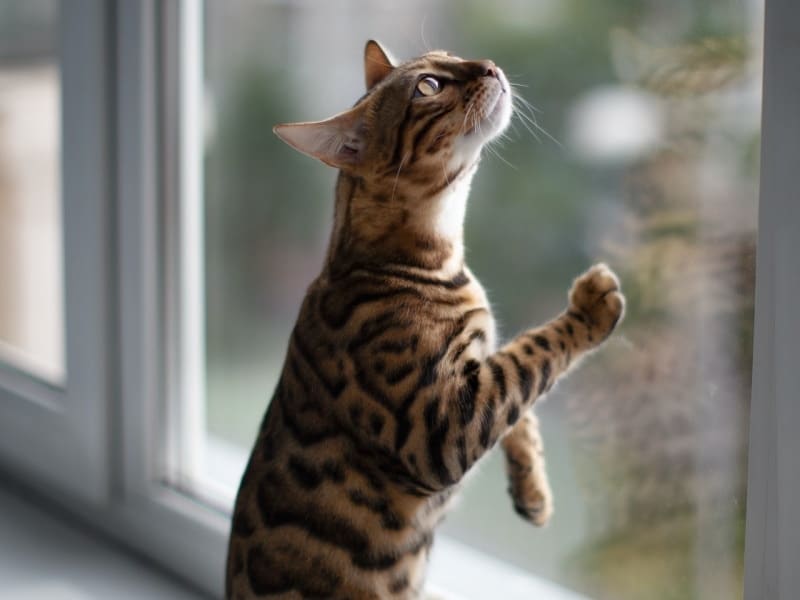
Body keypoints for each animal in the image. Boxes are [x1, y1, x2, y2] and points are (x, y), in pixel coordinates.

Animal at [225, 39, 624, 596]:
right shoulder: (443, 428)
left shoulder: (481, 365)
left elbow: (517, 382)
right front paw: (591, 304)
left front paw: (533, 491)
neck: (441, 256)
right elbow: (530, 358)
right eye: (428, 87)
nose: (490, 67)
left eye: (449, 55)